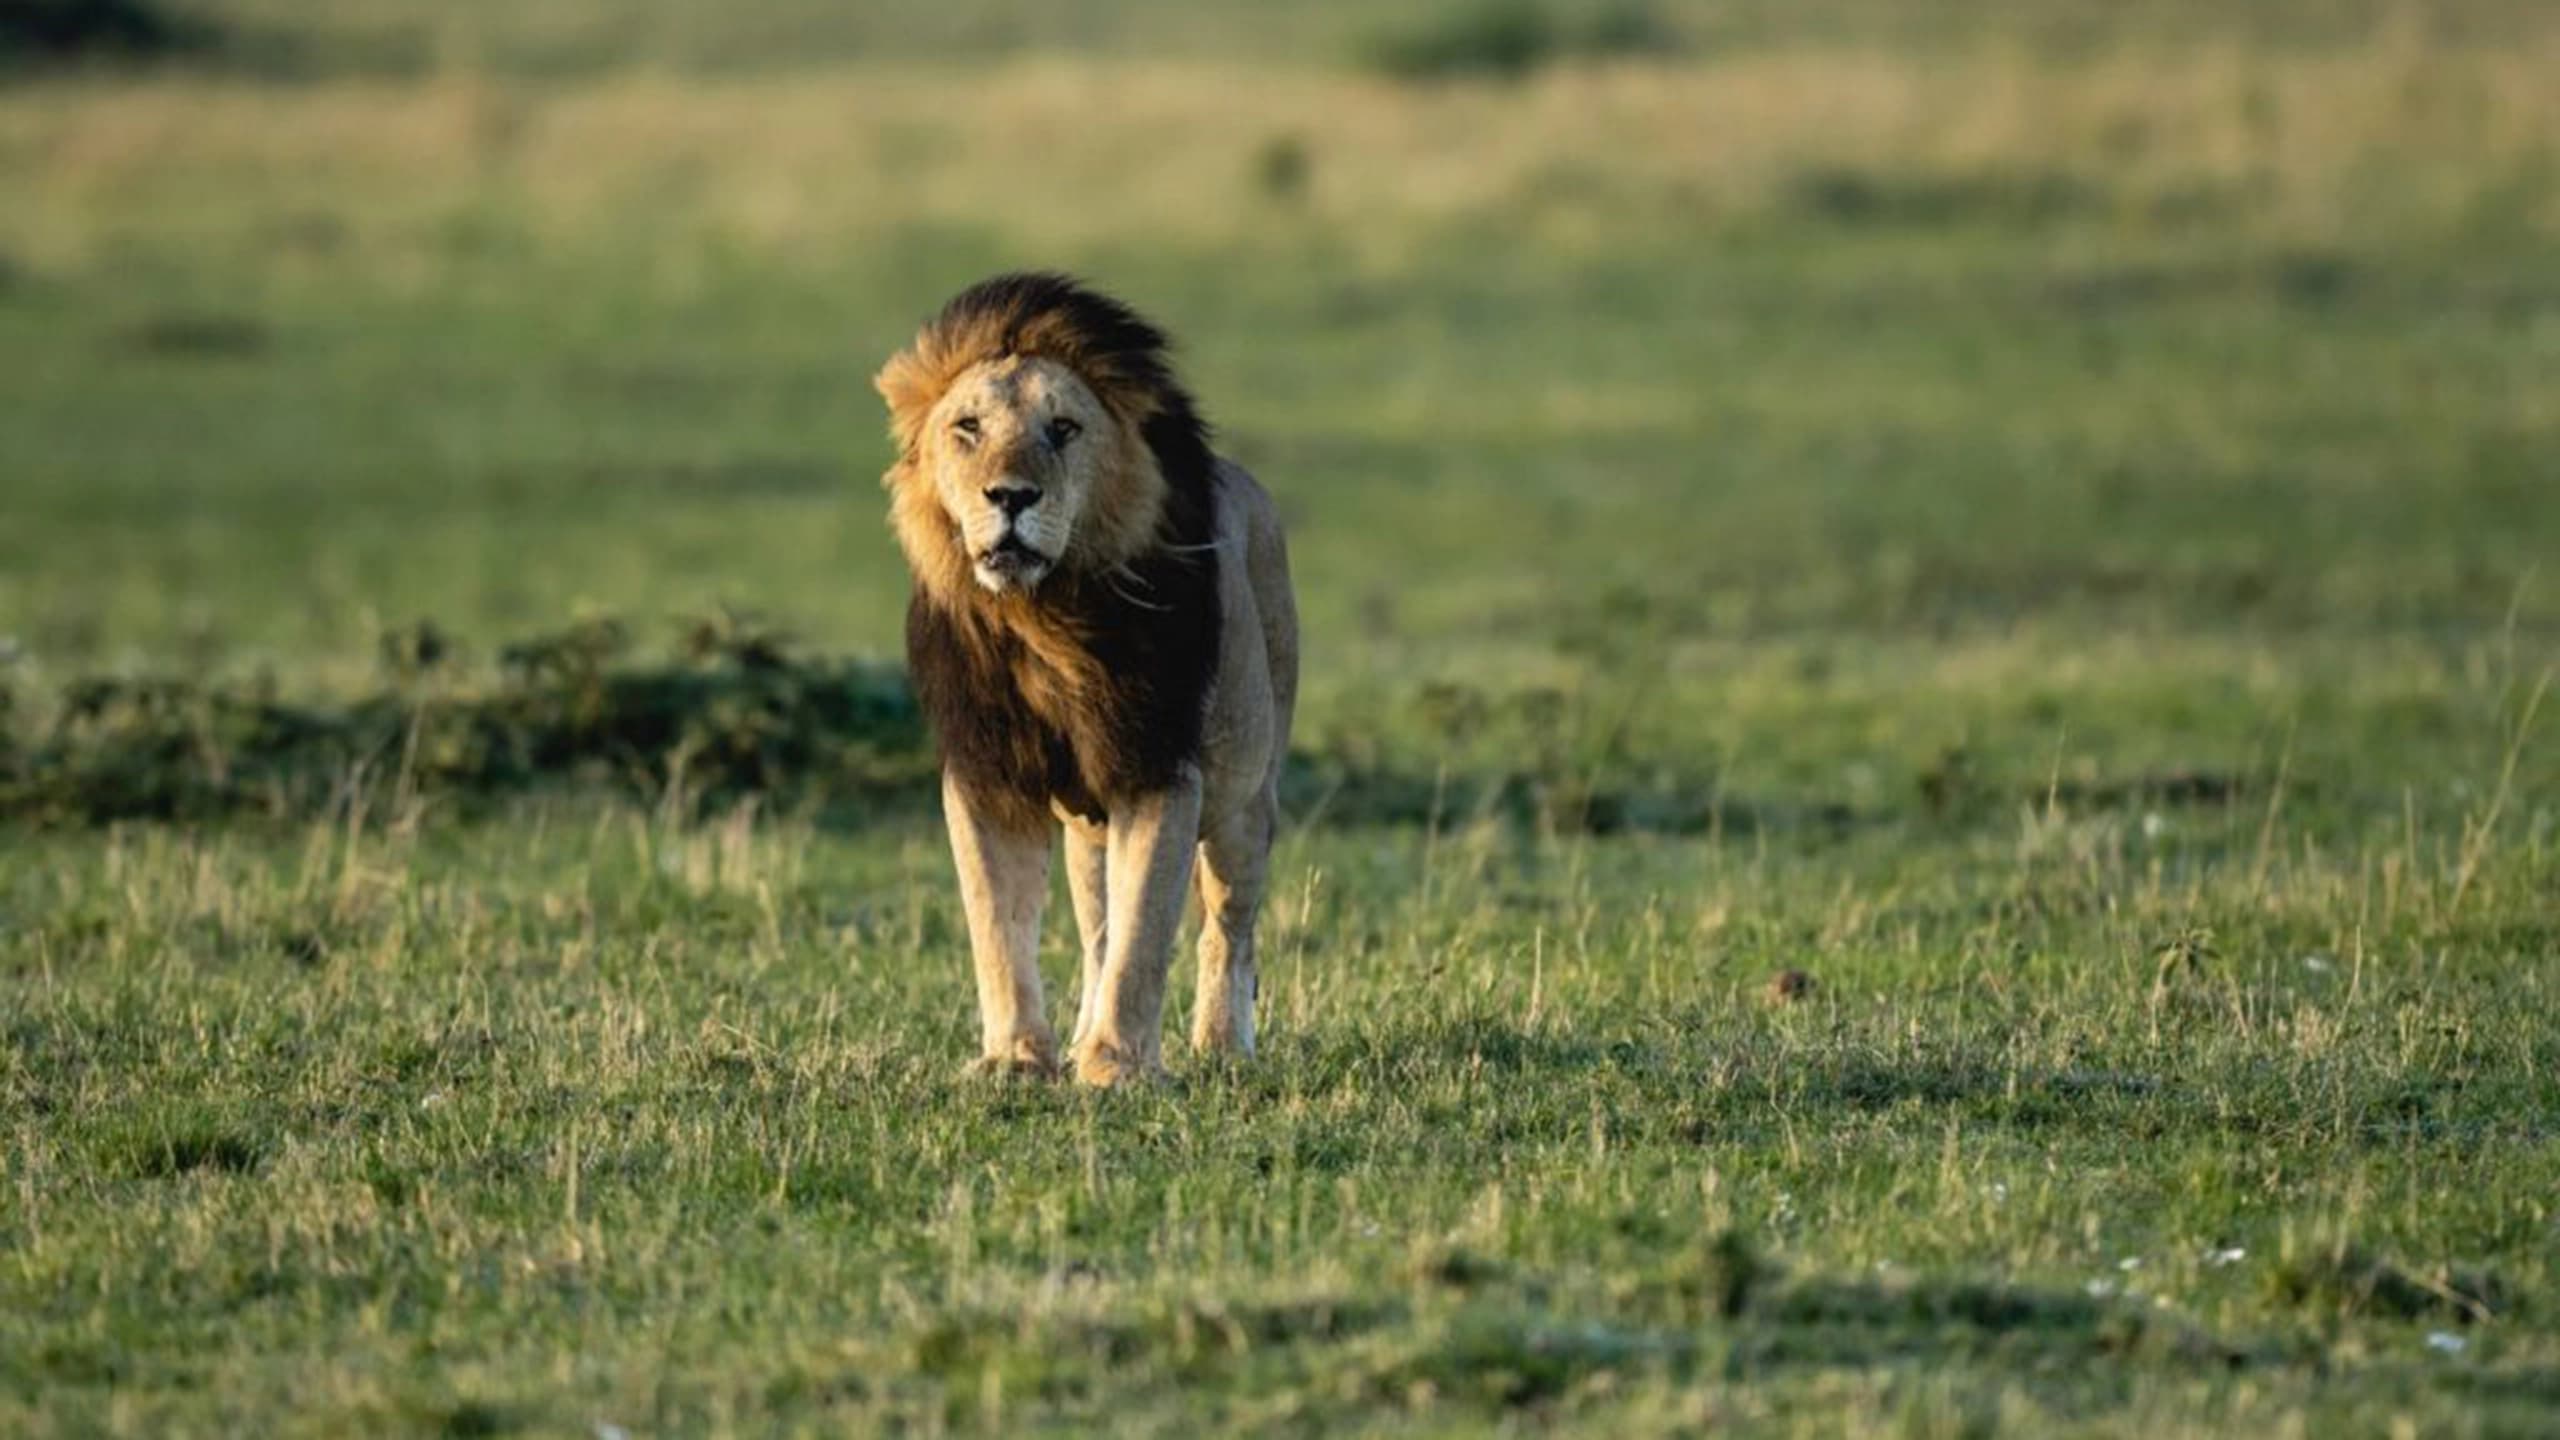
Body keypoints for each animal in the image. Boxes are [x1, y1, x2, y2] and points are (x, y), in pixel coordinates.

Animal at [874, 273, 1299, 1086]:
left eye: (1064, 429)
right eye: (968, 427)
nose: (1010, 497)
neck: (1044, 621)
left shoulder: (1159, 767)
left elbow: (1145, 938)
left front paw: (1118, 1070)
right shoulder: (986, 777)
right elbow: (999, 927)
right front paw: (1015, 1059)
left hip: (1244, 800)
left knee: (1227, 929)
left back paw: (1222, 1046)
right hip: (1086, 827)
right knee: (1100, 928)